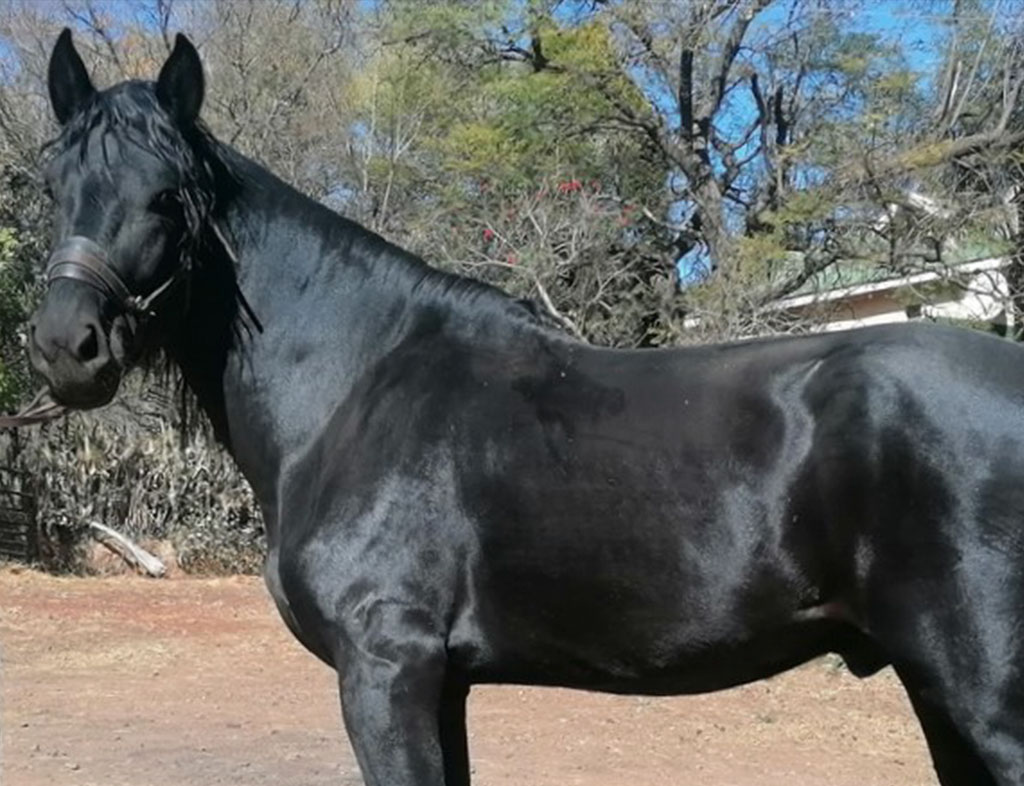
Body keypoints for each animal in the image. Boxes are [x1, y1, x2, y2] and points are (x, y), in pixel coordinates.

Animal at [28, 27, 1024, 781]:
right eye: (51, 185)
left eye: (169, 196)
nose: (67, 346)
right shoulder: (444, 685)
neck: (355, 385)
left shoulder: (387, 672)